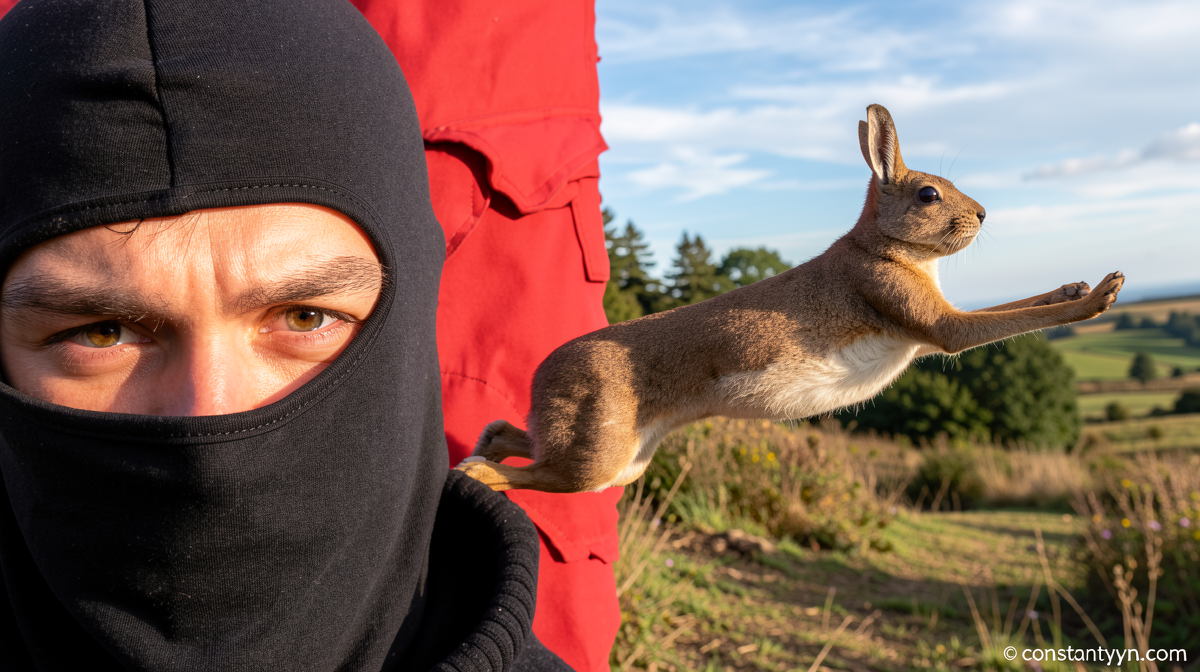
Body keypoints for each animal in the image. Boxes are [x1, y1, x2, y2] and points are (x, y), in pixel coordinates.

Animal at [455, 103, 1124, 493]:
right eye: (929, 194)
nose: (983, 214)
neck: (881, 246)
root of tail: (542, 376)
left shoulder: (931, 324)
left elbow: (1010, 308)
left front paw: (1077, 284)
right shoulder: (927, 321)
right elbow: (990, 324)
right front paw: (1099, 295)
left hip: (623, 460)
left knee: (522, 443)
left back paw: (486, 441)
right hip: (602, 452)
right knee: (527, 475)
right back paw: (472, 470)